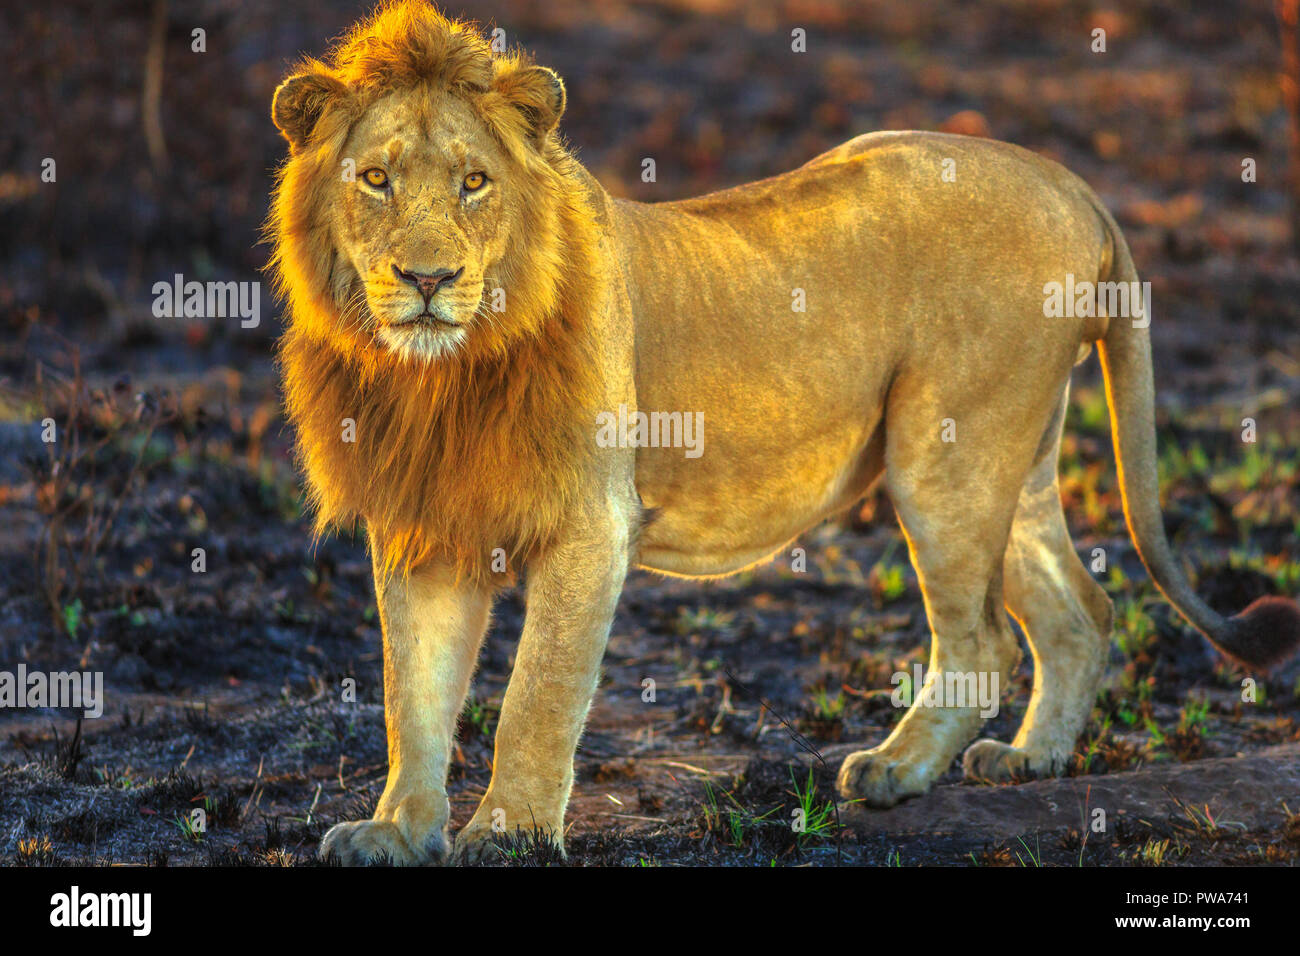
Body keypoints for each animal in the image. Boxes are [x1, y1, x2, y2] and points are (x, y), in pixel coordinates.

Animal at [266, 1, 1300, 868]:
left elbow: (536, 694)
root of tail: (1068, 179)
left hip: (944, 454)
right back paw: (1030, 761)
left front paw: (508, 835)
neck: (438, 377)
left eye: (475, 183)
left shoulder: (592, 523)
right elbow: (413, 691)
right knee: (1079, 609)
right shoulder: (425, 526)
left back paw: (895, 771)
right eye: (374, 179)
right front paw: (399, 830)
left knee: (982, 643)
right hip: (1019, 449)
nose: (428, 279)